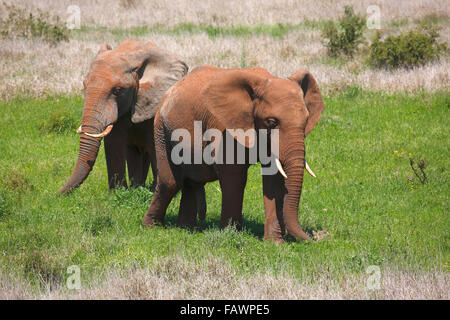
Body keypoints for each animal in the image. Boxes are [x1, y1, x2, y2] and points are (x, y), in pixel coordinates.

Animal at [58, 41, 188, 194]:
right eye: (84, 86)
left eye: (118, 90)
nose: (57, 194)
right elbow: (114, 142)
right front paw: (118, 192)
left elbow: (155, 145)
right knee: (135, 152)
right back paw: (137, 187)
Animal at [142, 65, 326, 241]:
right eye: (272, 122)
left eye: (306, 121)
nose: (316, 239)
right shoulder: (224, 128)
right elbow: (234, 177)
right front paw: (230, 234)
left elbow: (274, 179)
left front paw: (275, 242)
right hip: (161, 130)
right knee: (170, 182)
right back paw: (151, 227)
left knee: (191, 181)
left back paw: (186, 229)